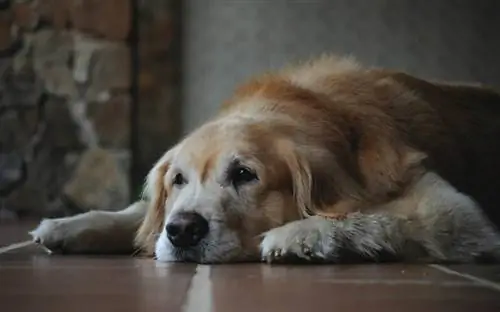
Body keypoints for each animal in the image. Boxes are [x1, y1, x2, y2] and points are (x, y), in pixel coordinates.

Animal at [29, 55, 500, 264]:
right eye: (178, 180)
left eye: (244, 174)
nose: (182, 231)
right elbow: (141, 215)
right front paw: (71, 225)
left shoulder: (452, 211)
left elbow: (374, 214)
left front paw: (301, 235)